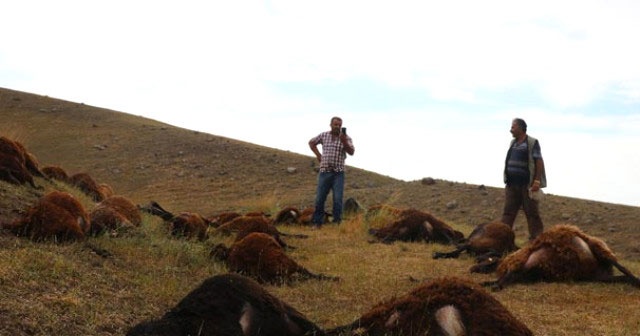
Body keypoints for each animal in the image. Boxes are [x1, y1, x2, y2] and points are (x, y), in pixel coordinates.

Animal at [484, 223, 640, 292]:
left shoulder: (517, 263)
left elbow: (506, 277)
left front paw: (492, 284)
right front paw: (490, 283)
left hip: (600, 250)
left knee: (623, 268)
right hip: (596, 271)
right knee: (623, 275)